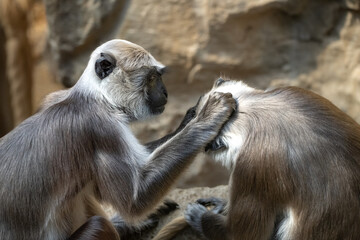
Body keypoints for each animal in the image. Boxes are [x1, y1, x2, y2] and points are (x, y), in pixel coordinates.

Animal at [0, 40, 236, 239]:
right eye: (152, 78)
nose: (166, 93)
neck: (93, 97)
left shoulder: (51, 98)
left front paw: (193, 116)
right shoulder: (102, 129)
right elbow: (135, 201)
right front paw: (209, 115)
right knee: (99, 224)